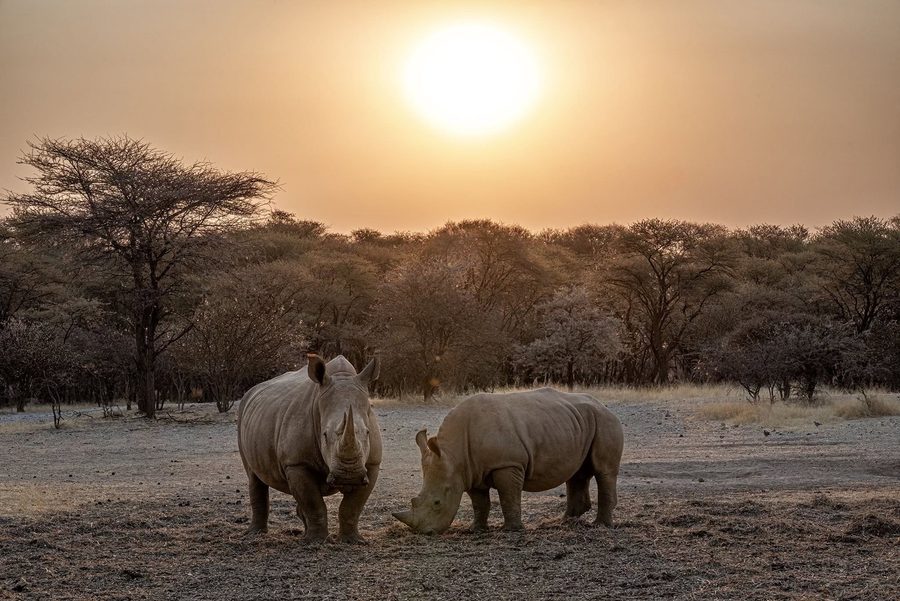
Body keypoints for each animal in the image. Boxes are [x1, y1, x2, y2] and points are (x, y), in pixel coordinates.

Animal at [237, 354, 381, 543]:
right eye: (324, 435)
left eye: (367, 432)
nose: (349, 476)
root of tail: (251, 392)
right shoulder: (297, 463)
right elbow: (314, 503)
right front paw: (315, 541)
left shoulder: (372, 464)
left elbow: (352, 507)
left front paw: (352, 541)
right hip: (242, 416)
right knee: (254, 477)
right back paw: (255, 534)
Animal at [392, 388, 623, 534]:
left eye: (437, 503)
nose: (425, 532)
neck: (454, 454)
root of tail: (604, 406)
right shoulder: (470, 471)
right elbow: (479, 502)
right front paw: (476, 529)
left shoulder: (507, 464)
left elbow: (508, 496)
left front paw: (511, 530)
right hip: (577, 422)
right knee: (577, 472)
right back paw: (566, 521)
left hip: (606, 421)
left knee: (604, 471)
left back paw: (600, 526)